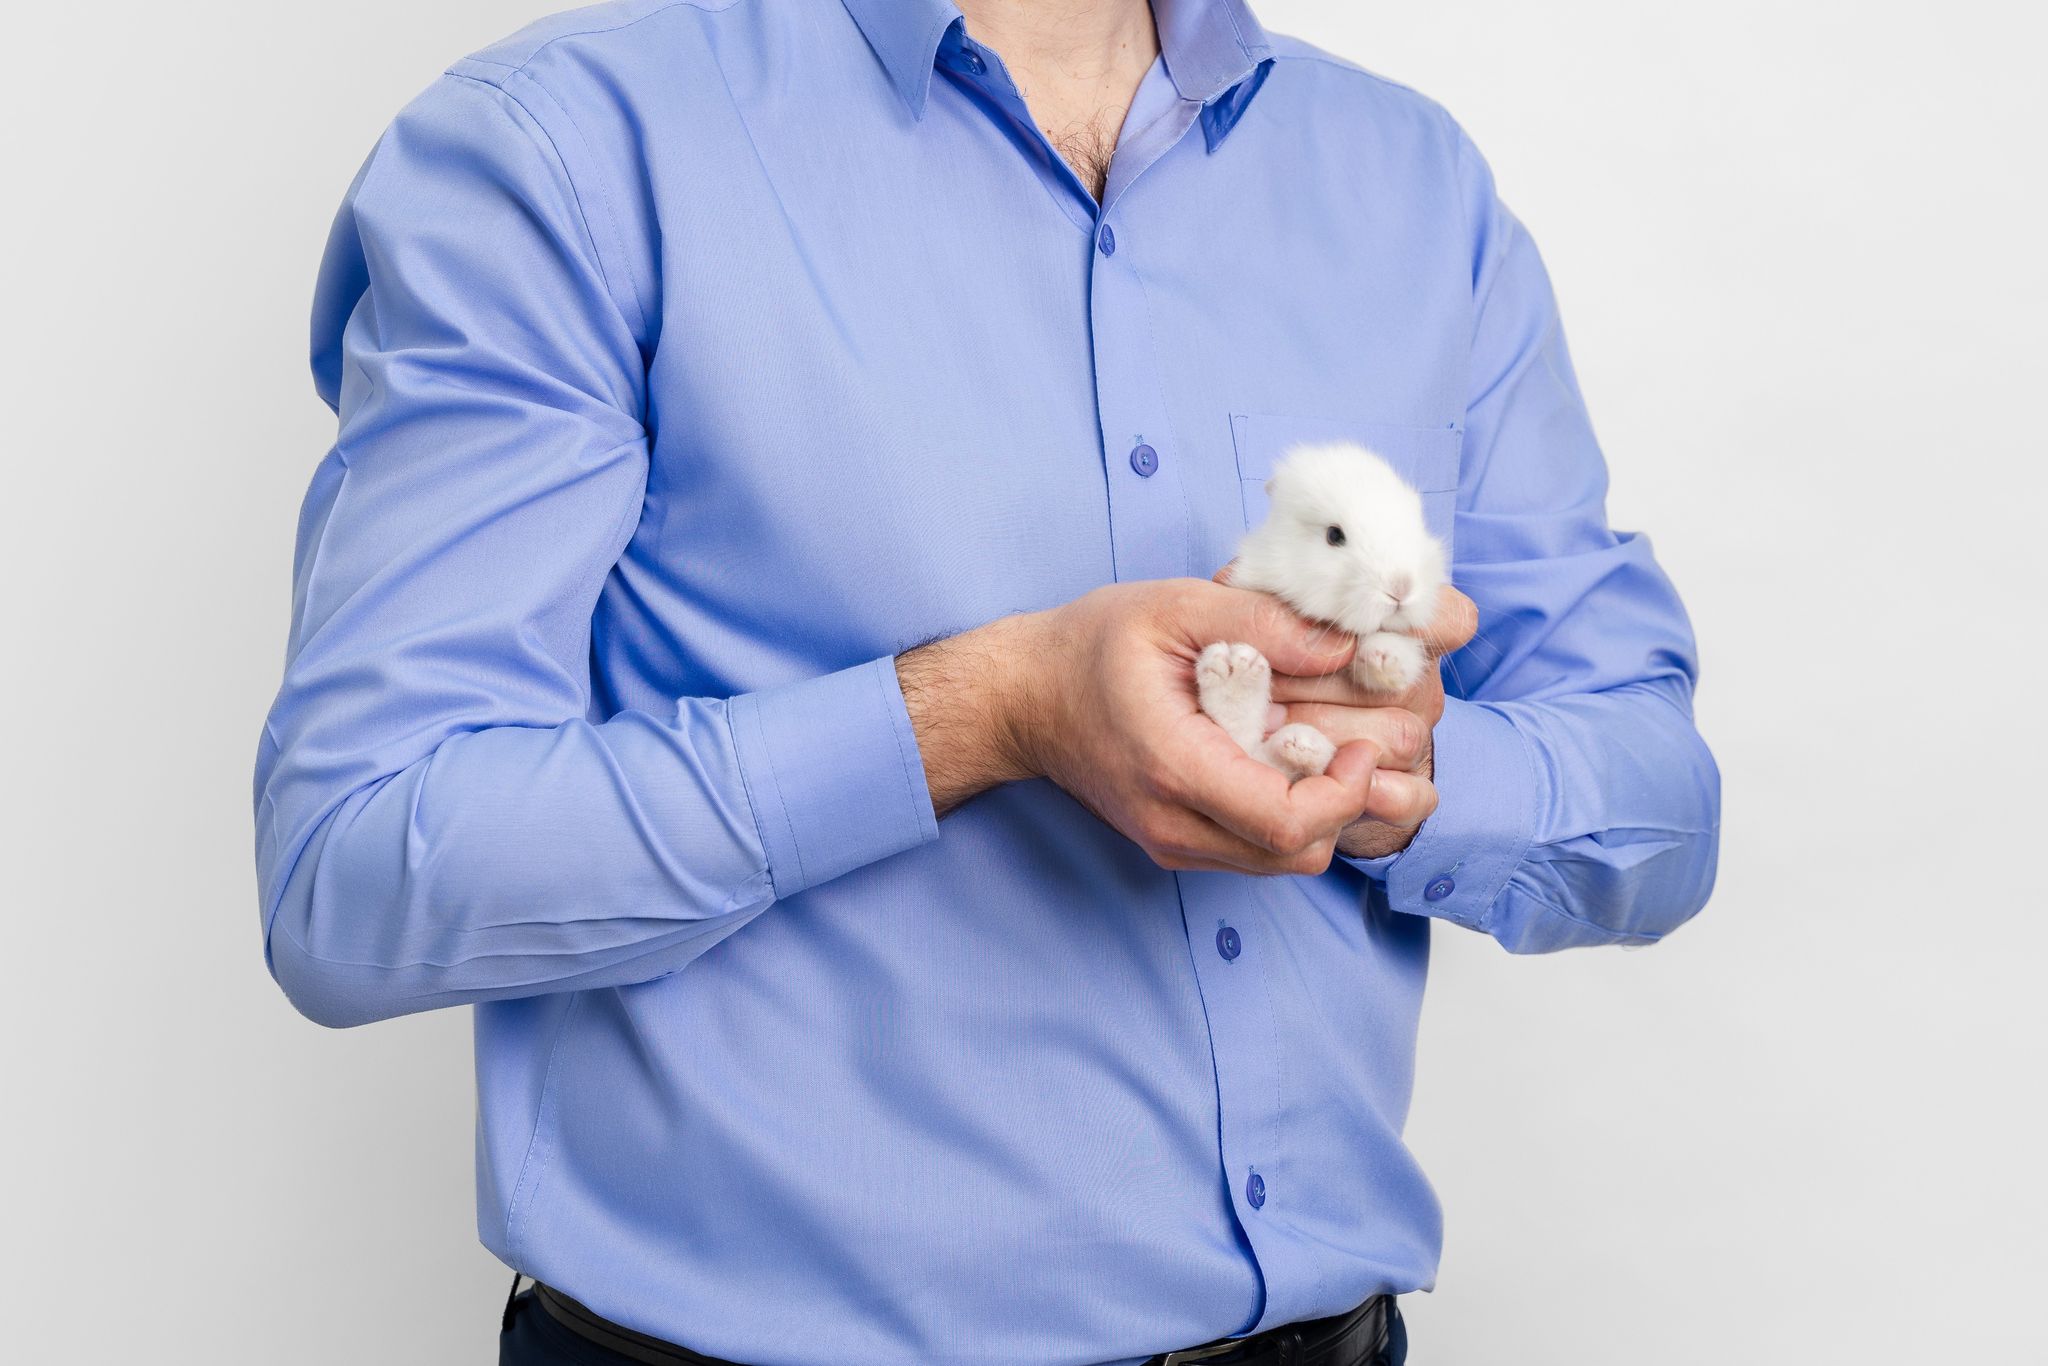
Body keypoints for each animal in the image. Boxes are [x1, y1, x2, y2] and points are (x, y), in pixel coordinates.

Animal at [1197, 440, 1447, 780]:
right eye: (1334, 535)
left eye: (1417, 527)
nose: (1401, 587)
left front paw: (1385, 658)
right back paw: (1235, 676)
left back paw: (1301, 747)